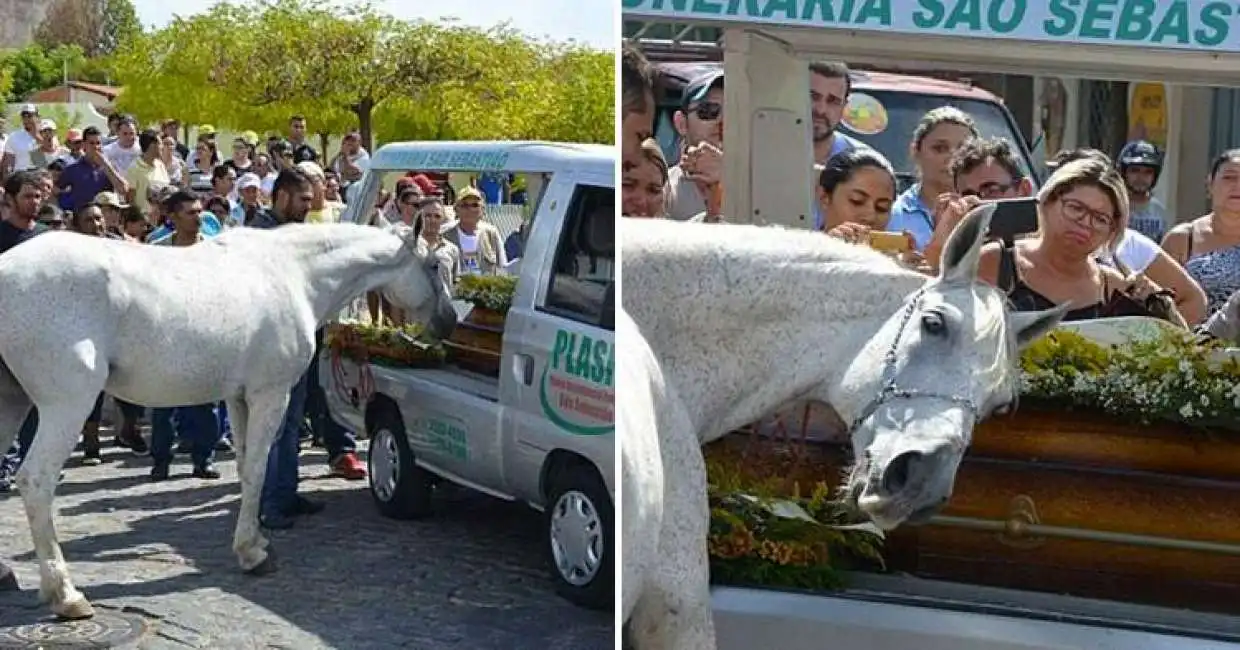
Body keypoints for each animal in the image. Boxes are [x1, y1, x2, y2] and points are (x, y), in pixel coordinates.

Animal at [0, 219, 458, 620]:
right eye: (434, 265)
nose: (450, 321)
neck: (293, 273)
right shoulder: (269, 394)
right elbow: (257, 470)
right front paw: (252, 554)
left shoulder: (238, 399)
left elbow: (243, 467)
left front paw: (254, 541)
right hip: (66, 406)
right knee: (35, 482)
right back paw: (65, 594)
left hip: (12, 403)